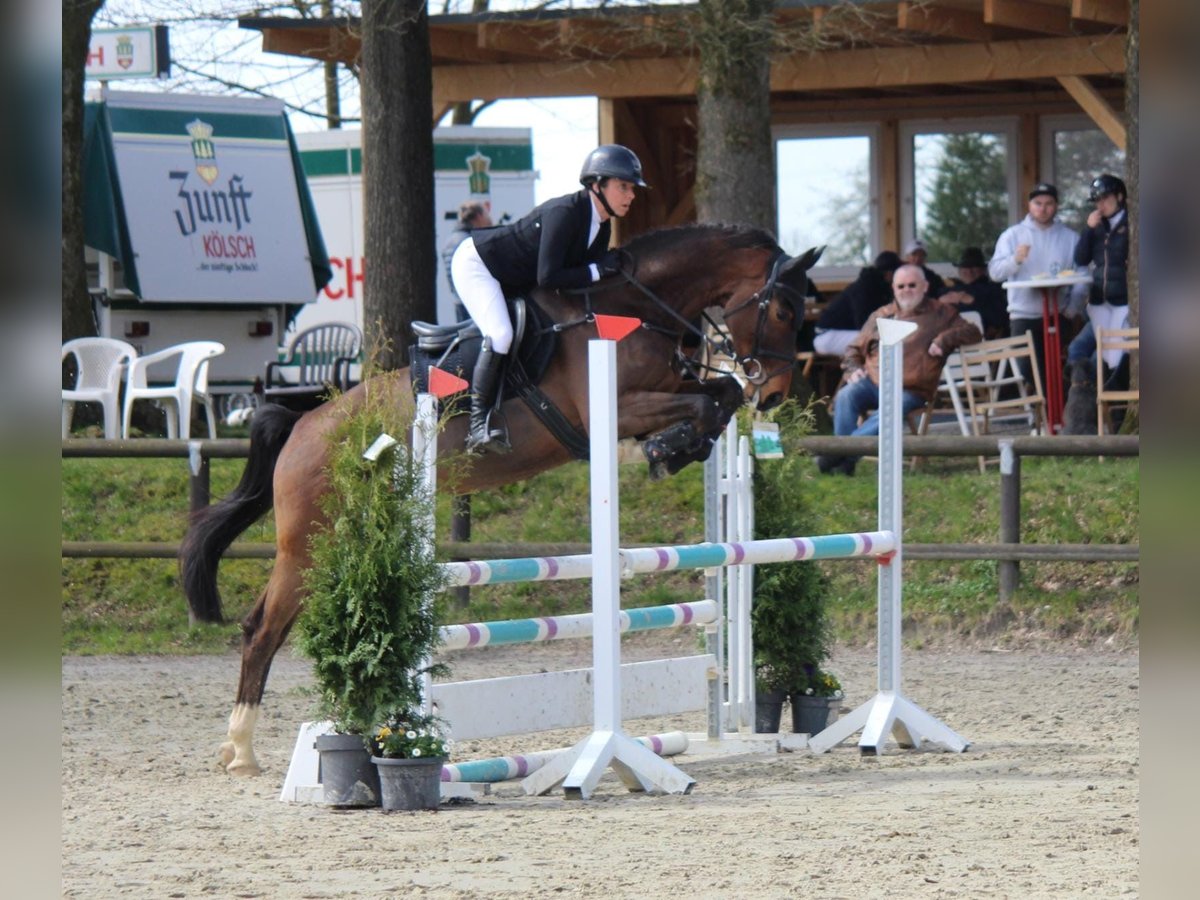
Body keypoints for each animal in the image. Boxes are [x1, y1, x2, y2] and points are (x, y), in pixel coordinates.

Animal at [182, 224, 820, 777]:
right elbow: (709, 399)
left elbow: (721, 392)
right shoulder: (616, 409)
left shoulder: (666, 388)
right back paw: (243, 749)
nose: (777, 392)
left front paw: (680, 448)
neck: (633, 309)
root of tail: (302, 425)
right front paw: (669, 446)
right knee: (261, 630)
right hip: (308, 543)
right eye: (783, 311)